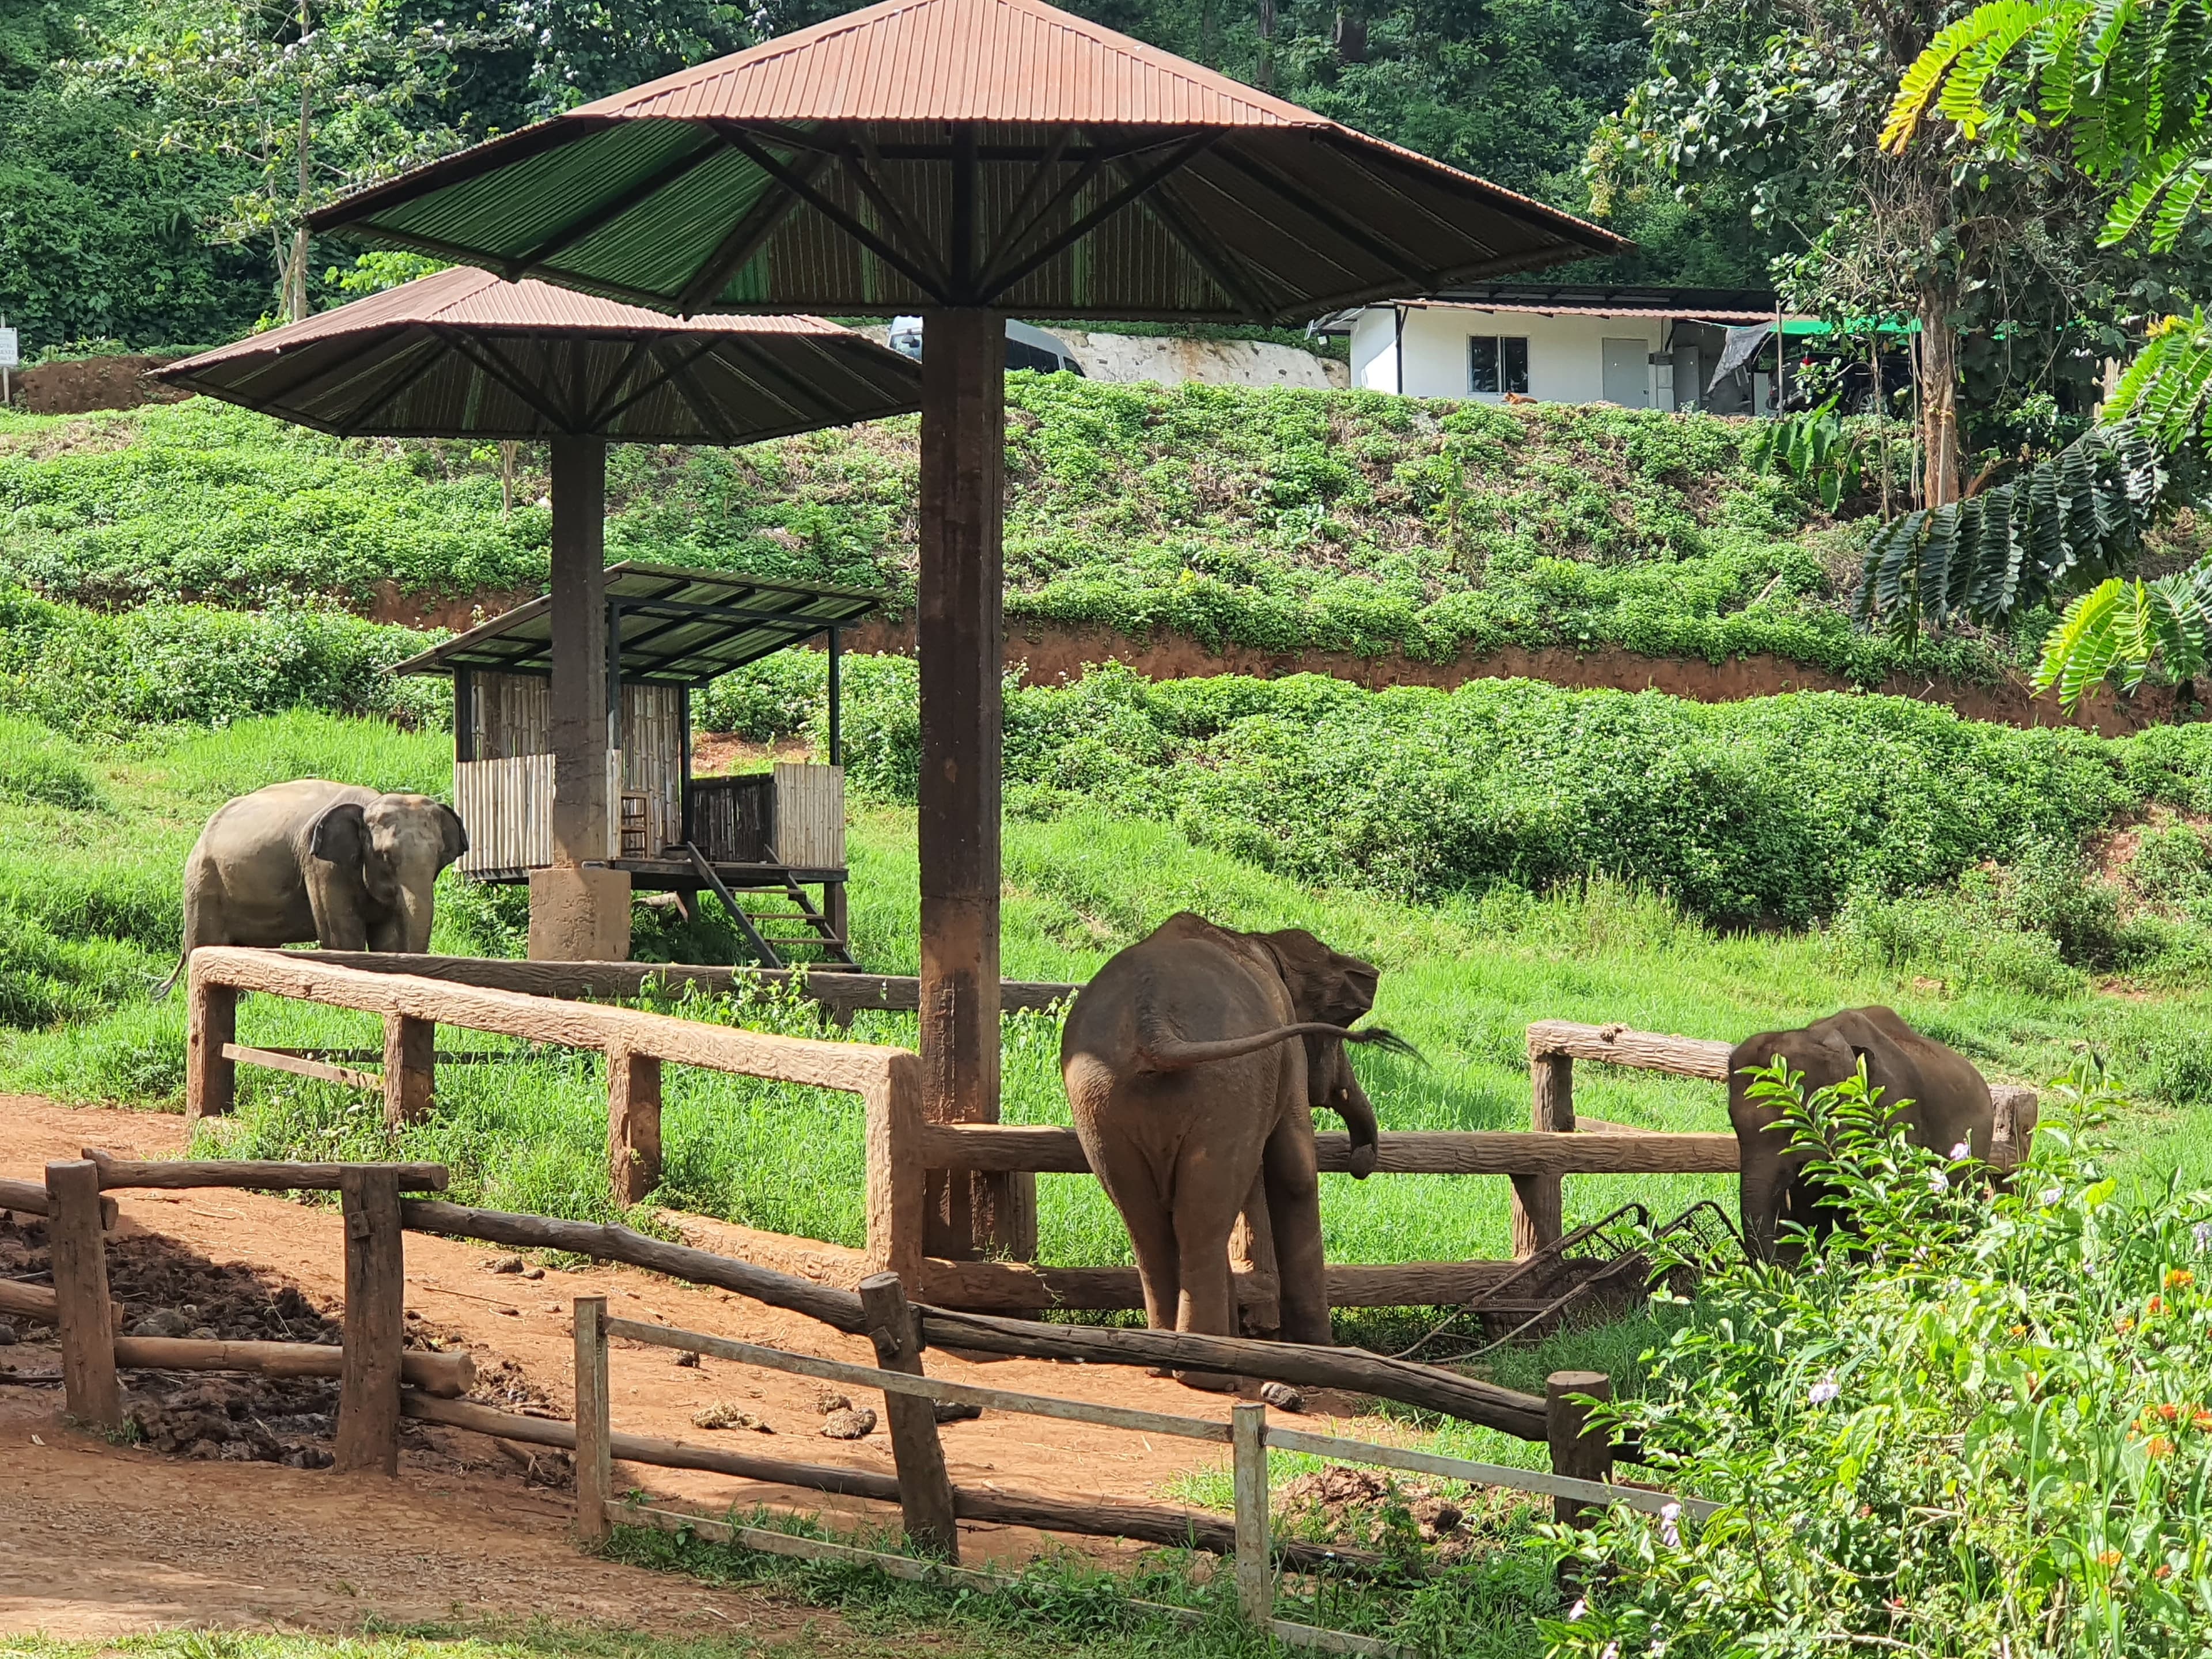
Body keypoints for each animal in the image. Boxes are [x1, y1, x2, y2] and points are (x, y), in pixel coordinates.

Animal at [158, 780, 468, 992]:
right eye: (385, 857)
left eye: (440, 858)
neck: (369, 804)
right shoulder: (322, 867)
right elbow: (343, 938)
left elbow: (386, 939)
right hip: (203, 883)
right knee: (204, 942)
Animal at [1060, 912, 1412, 1374]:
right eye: (1339, 1033)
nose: (1361, 1162)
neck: (1261, 940)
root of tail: (1151, 1025)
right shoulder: (1287, 1047)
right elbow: (1295, 1172)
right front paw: (1320, 1350)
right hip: (1225, 1084)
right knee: (1200, 1220)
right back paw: (1207, 1369)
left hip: (1101, 1102)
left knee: (1148, 1223)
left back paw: (1162, 1359)